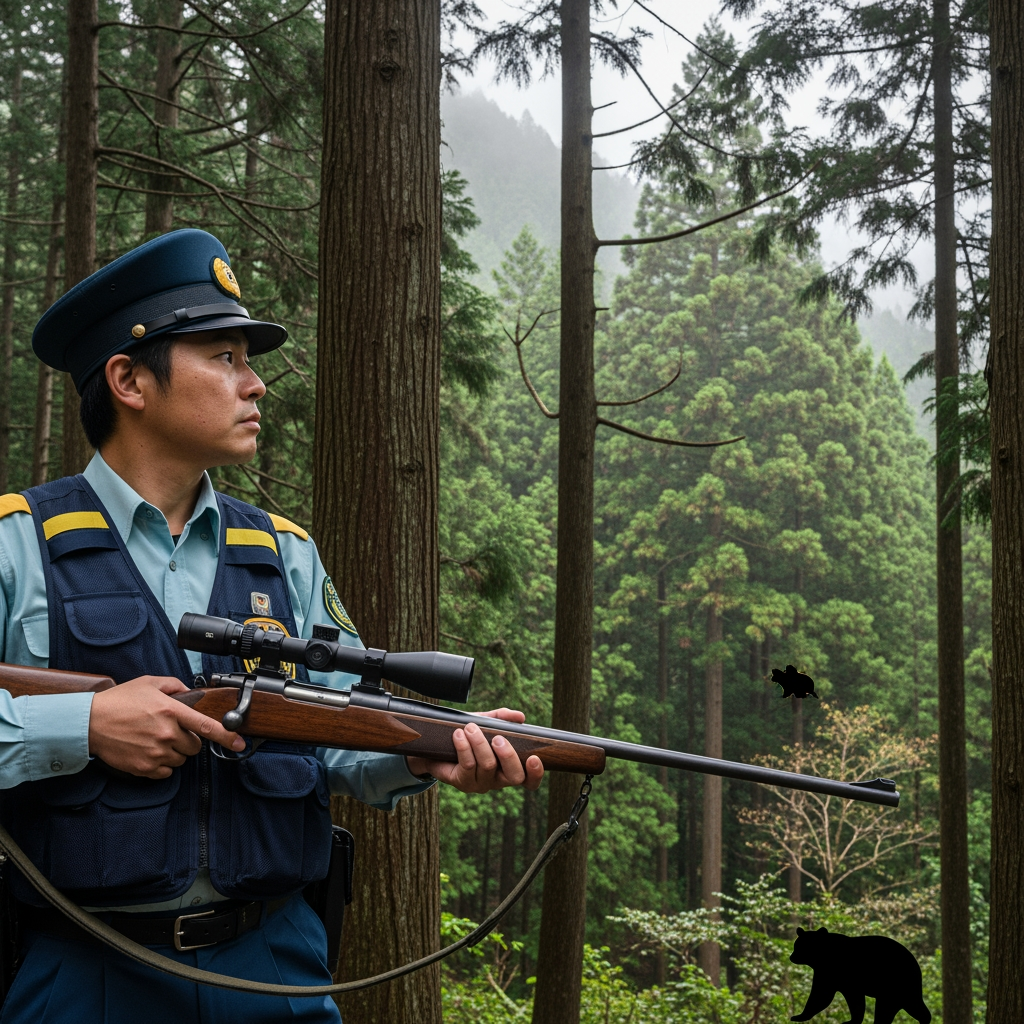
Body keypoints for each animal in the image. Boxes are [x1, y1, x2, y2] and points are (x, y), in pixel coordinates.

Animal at [789, 926, 932, 1024]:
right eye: (796, 945)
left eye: (802, 946)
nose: (792, 957)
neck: (824, 958)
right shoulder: (826, 973)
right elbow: (823, 994)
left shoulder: (840, 972)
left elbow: (823, 995)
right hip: (905, 991)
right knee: (913, 1006)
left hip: (894, 985)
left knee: (885, 1008)